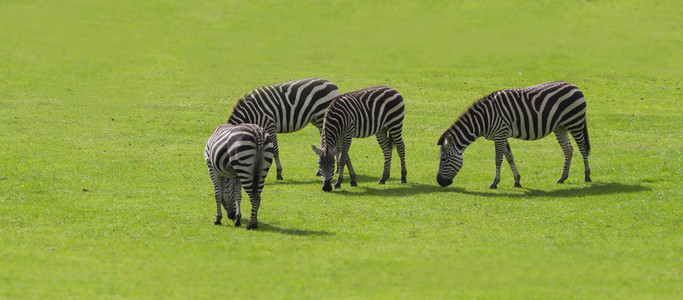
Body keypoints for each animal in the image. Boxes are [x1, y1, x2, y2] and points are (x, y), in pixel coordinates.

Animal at [438, 81, 592, 189]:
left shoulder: (500, 134)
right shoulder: (502, 135)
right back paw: (562, 178)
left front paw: (494, 183)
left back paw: (587, 176)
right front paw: (517, 181)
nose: (439, 182)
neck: (484, 119)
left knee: (582, 148)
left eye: (444, 159)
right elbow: (510, 158)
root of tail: (574, 85)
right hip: (560, 127)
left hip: (575, 122)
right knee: (568, 149)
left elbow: (498, 160)